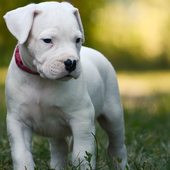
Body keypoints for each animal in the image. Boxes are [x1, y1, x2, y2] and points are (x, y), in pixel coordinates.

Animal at [3, 1, 127, 170]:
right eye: (47, 40)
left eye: (77, 40)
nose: (71, 63)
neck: (40, 80)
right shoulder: (17, 121)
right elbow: (21, 154)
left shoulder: (81, 119)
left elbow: (81, 154)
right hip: (55, 129)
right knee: (59, 147)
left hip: (113, 114)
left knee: (117, 144)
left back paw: (120, 162)